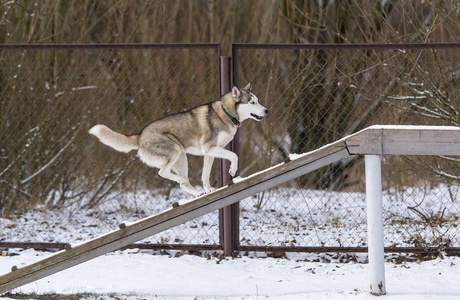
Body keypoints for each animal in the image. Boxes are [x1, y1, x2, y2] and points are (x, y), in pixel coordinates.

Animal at [89, 83, 268, 198]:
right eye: (252, 102)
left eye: (258, 100)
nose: (266, 110)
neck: (227, 113)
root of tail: (139, 135)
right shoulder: (209, 148)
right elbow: (234, 155)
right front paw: (232, 170)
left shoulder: (210, 153)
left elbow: (205, 175)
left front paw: (208, 190)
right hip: (174, 151)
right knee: (163, 173)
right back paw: (181, 180)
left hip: (182, 158)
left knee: (183, 183)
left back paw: (197, 192)